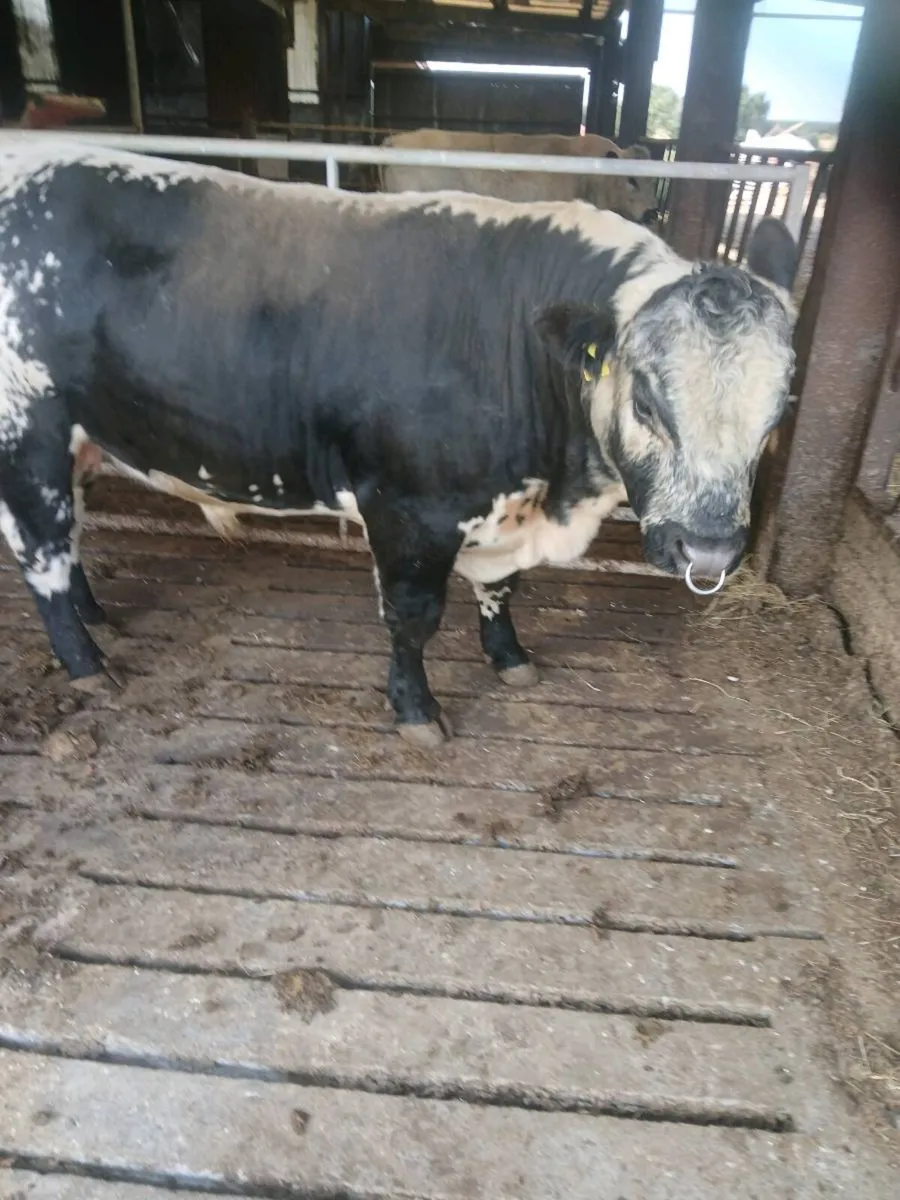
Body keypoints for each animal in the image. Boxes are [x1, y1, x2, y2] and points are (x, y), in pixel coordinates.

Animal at [0, 140, 797, 747]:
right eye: (645, 400)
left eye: (778, 409)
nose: (710, 552)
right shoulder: (409, 510)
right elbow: (413, 619)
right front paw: (417, 710)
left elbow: (501, 589)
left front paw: (509, 657)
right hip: (26, 437)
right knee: (43, 554)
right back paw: (88, 663)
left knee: (71, 538)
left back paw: (96, 616)